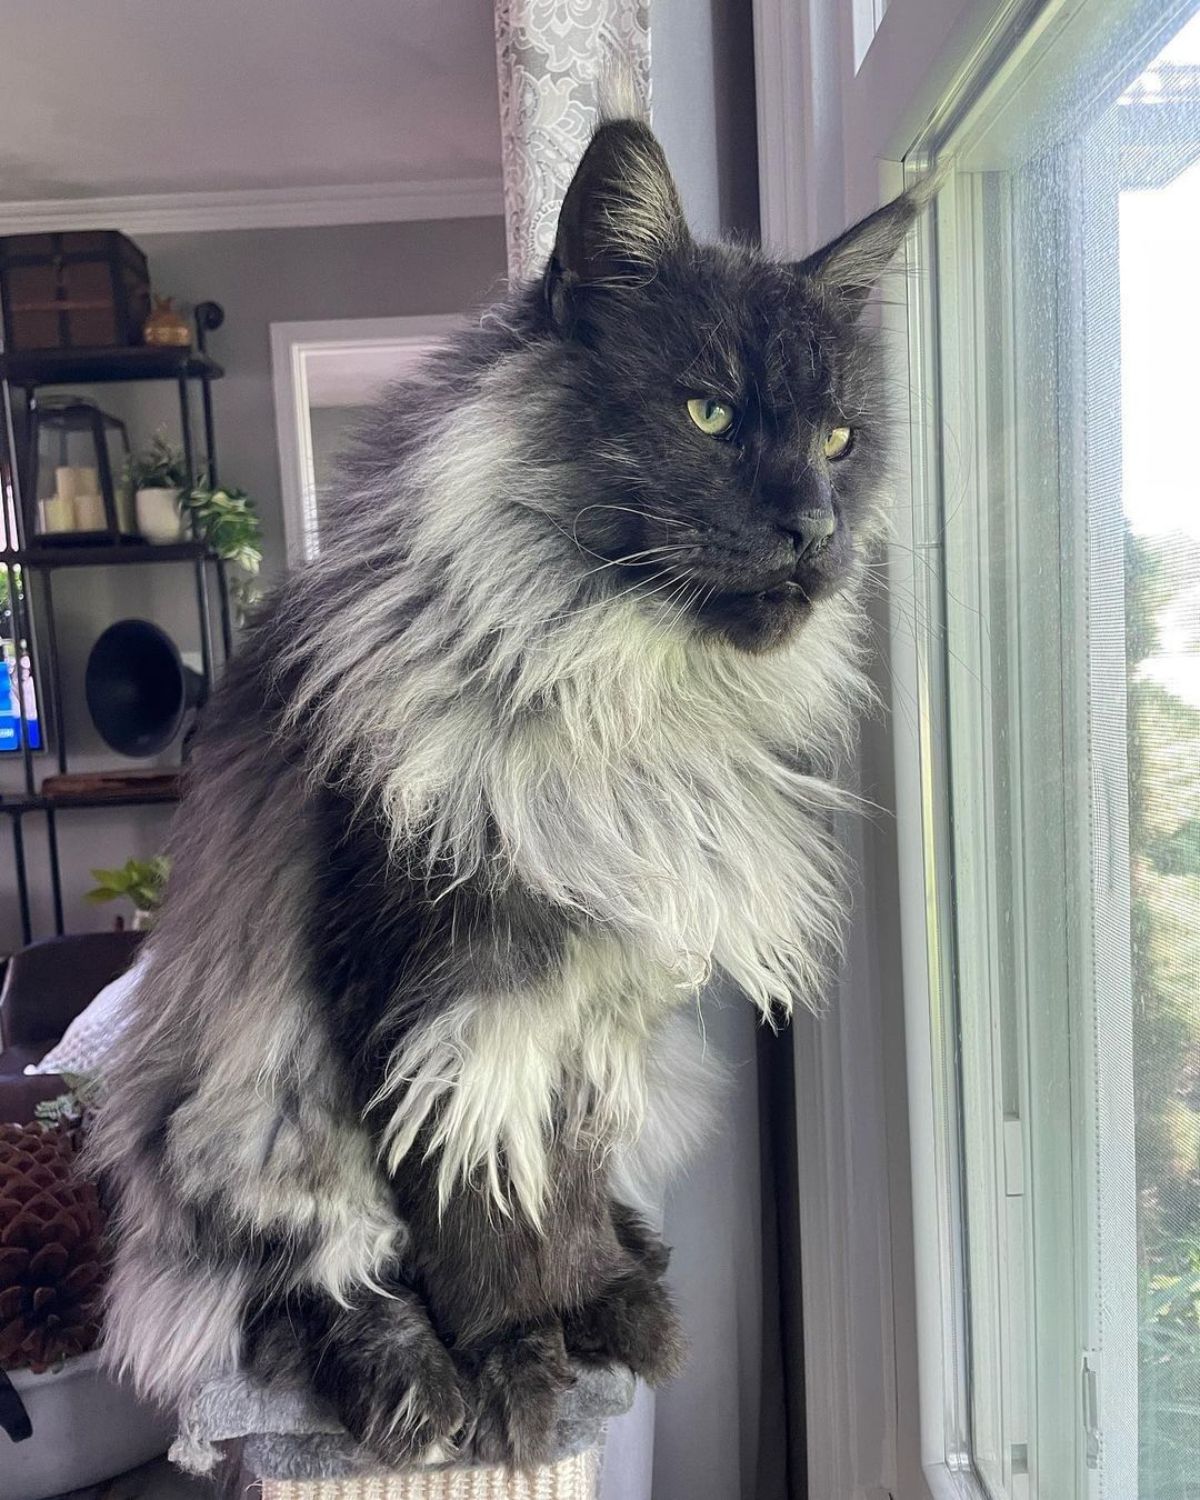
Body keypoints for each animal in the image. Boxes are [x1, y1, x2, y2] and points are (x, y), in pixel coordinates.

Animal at [91, 111, 930, 1470]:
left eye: (842, 442)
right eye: (709, 414)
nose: (814, 527)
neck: (619, 704)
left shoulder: (596, 994)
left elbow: (558, 1186)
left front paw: (594, 1308)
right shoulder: (440, 993)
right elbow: (468, 1218)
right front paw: (515, 1369)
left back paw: (635, 1281)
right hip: (248, 1117)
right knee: (308, 1289)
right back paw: (413, 1389)